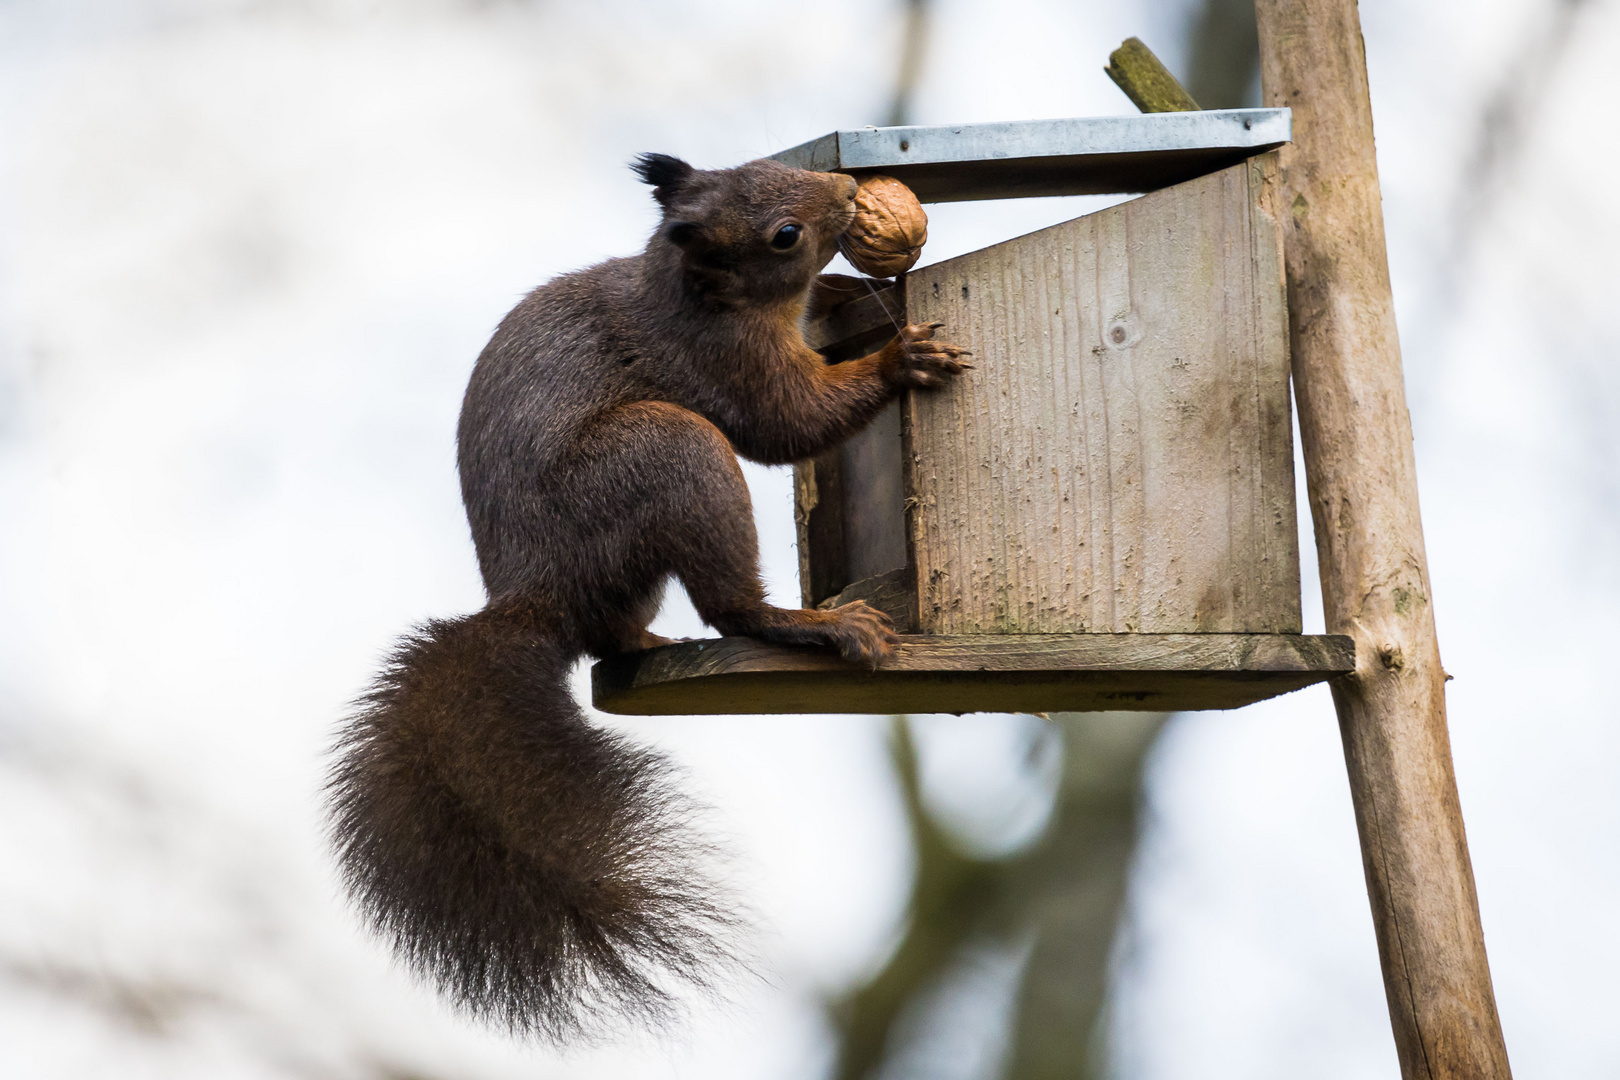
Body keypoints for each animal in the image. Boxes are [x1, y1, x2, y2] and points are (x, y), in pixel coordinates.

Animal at [322, 156, 965, 1042]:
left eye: (771, 166)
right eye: (784, 236)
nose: (845, 191)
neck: (690, 293)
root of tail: (537, 601)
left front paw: (840, 291)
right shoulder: (719, 362)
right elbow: (787, 423)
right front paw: (900, 360)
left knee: (617, 637)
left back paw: (658, 644)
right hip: (668, 453)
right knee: (730, 606)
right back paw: (812, 624)